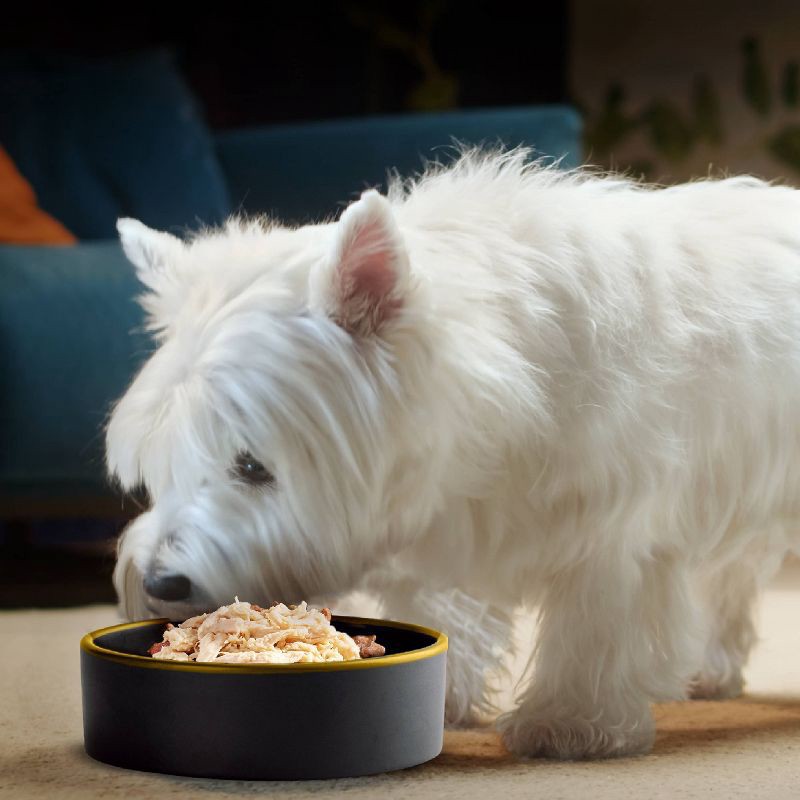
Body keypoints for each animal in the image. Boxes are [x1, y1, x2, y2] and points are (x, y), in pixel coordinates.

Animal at [106, 148, 800, 756]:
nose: (161, 582)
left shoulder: (615, 522)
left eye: (252, 465)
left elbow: (594, 622)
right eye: (162, 467)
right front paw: (443, 698)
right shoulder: (451, 521)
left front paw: (571, 725)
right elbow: (445, 608)